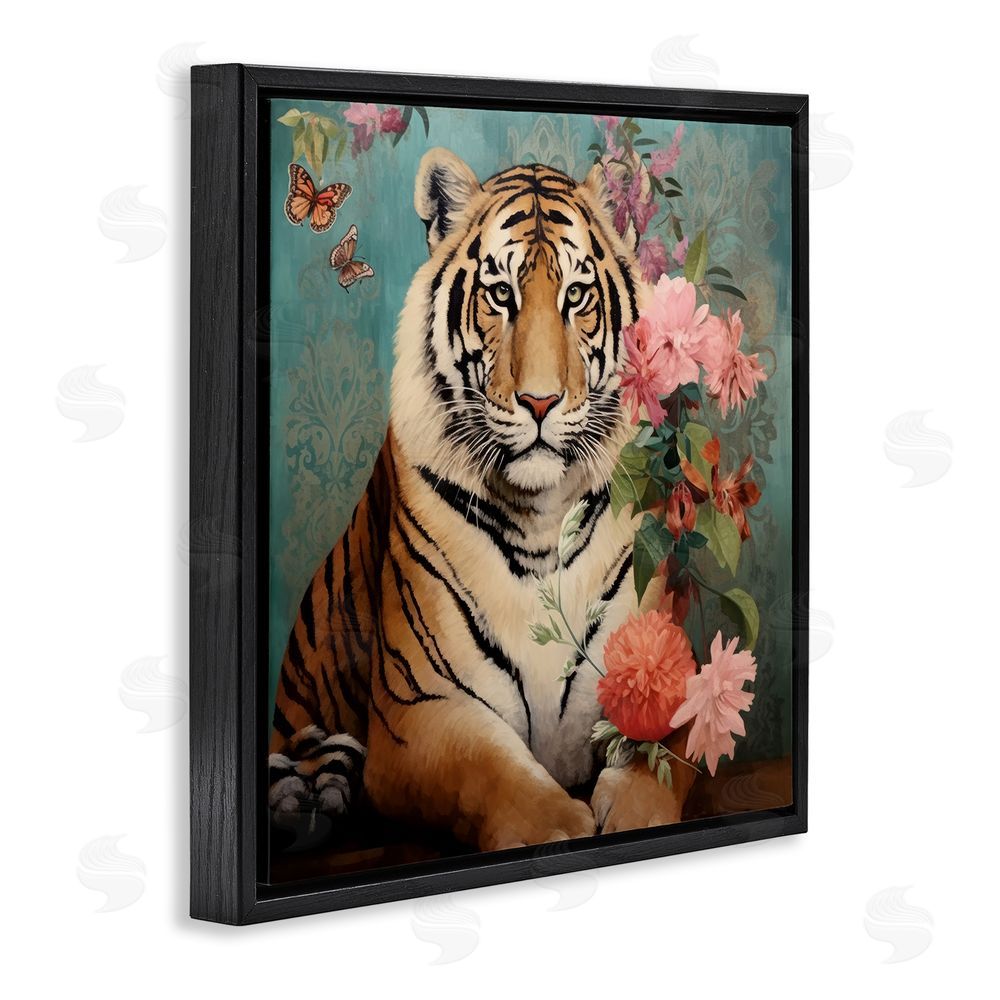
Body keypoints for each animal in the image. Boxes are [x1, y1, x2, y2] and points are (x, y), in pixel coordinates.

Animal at [268, 148, 697, 852]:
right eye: (501, 295)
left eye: (577, 295)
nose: (541, 402)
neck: (542, 516)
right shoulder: (418, 711)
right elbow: (494, 775)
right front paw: (562, 826)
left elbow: (669, 747)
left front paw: (635, 811)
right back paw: (306, 802)